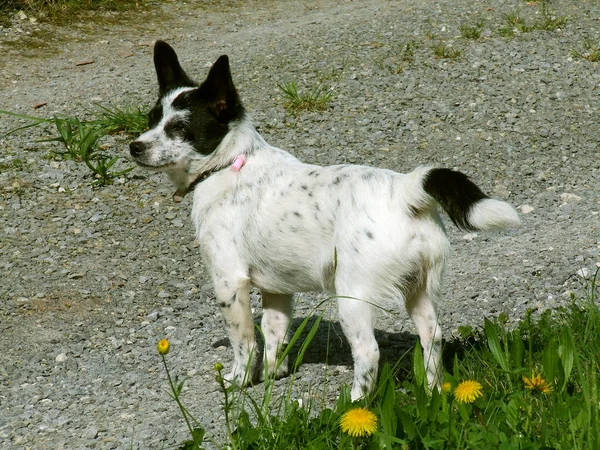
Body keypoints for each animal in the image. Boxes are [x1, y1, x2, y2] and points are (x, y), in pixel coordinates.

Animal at [130, 41, 520, 400]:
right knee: (432, 337)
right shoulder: (276, 291)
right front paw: (273, 375)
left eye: (180, 128)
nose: (135, 146)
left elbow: (245, 343)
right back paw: (433, 391)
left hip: (352, 297)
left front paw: (239, 381)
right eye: (151, 118)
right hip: (418, 290)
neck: (229, 162)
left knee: (368, 353)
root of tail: (406, 190)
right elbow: (274, 334)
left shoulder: (229, 283)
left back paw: (355, 404)